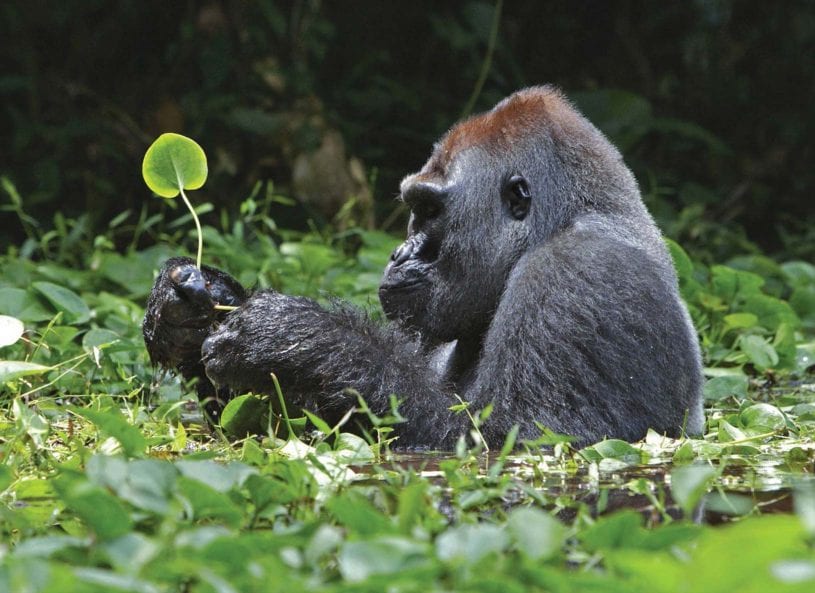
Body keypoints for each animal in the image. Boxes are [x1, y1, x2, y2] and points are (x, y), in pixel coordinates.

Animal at [143, 86, 704, 448]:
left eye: (430, 211)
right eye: (415, 208)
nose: (399, 253)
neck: (563, 220)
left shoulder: (581, 275)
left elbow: (512, 439)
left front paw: (294, 338)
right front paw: (187, 311)